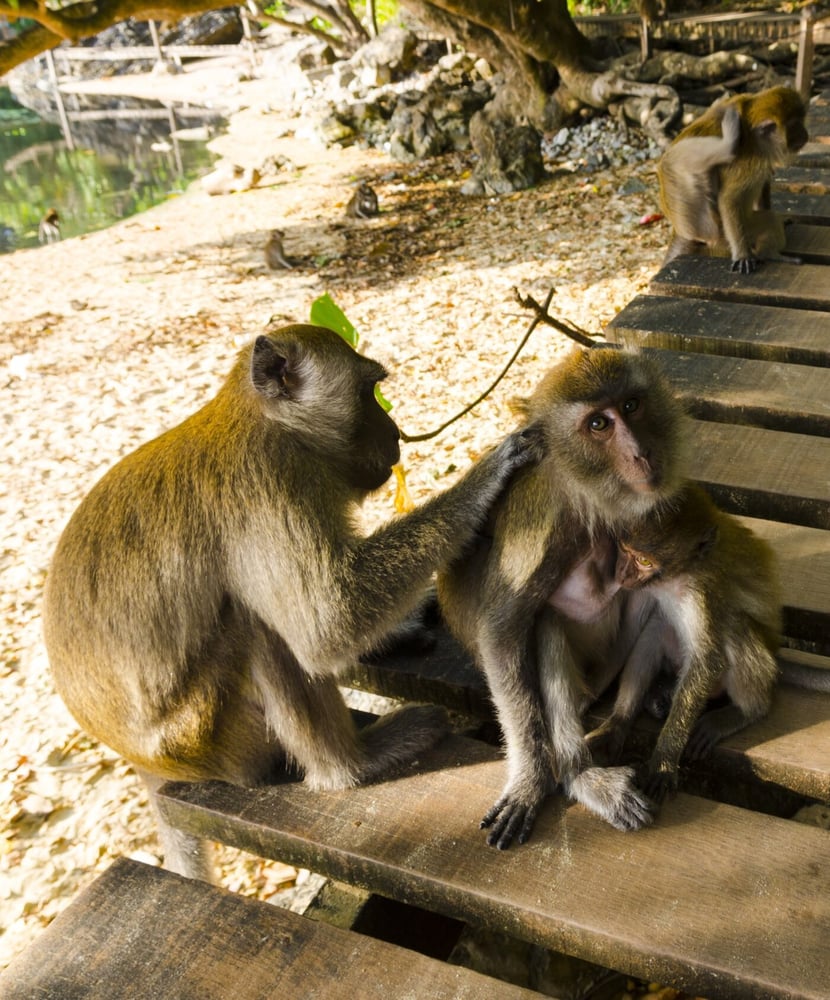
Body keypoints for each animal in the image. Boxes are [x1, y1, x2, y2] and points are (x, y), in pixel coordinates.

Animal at [42, 324, 543, 880]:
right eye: (368, 391)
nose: (394, 430)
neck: (262, 419)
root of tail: (141, 762)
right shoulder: (270, 483)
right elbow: (329, 621)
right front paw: (488, 474)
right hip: (209, 739)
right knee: (259, 625)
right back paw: (352, 767)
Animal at [437, 347, 687, 849]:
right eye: (599, 424)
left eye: (631, 405)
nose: (641, 452)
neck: (588, 495)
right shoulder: (542, 517)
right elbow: (503, 631)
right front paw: (531, 781)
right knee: (544, 623)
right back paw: (578, 775)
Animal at [658, 86, 808, 273]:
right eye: (795, 126)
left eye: (801, 121)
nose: (805, 134)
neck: (753, 136)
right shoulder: (748, 162)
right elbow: (729, 199)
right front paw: (743, 254)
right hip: (713, 231)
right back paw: (768, 253)